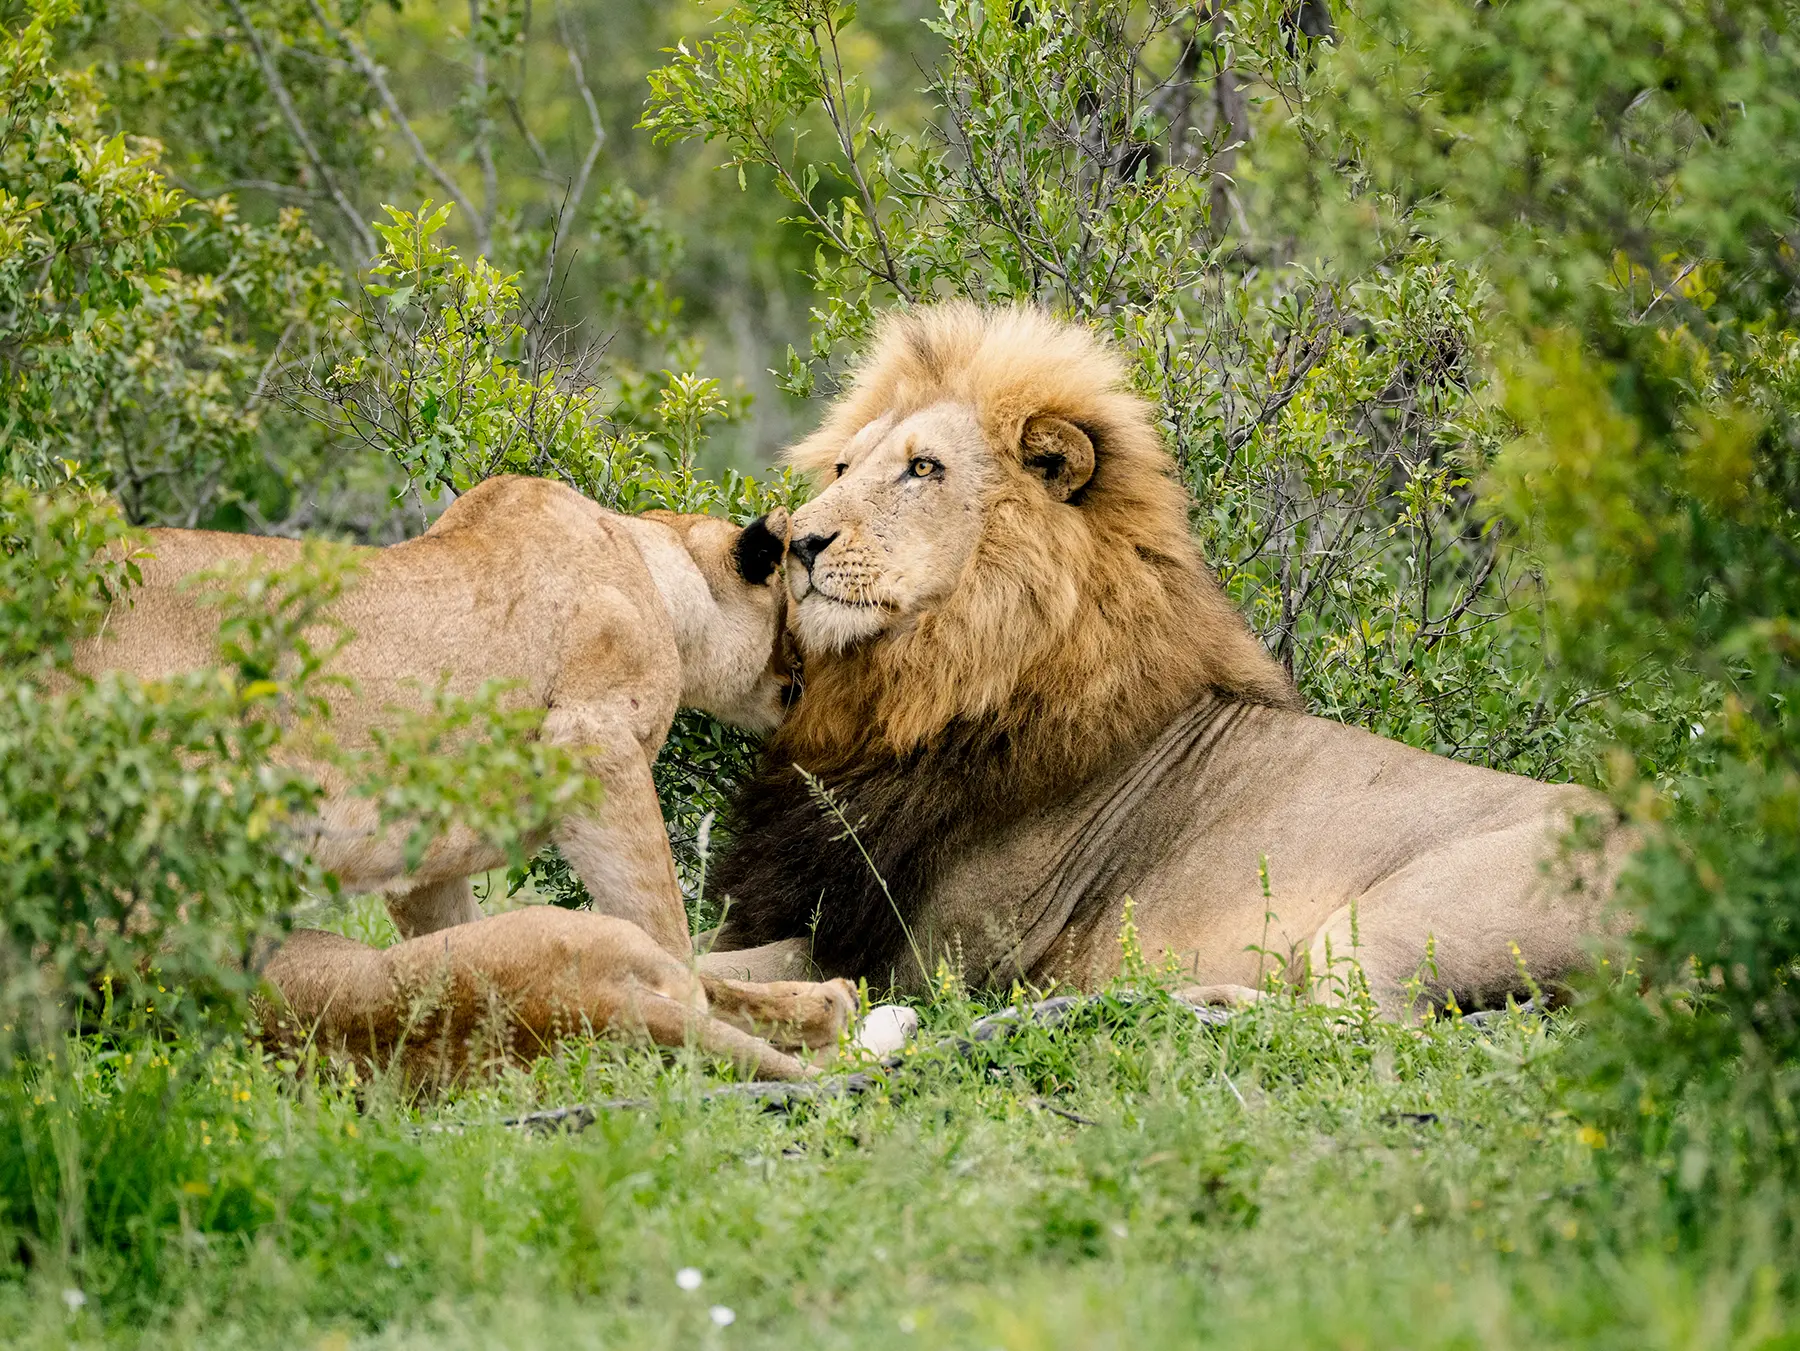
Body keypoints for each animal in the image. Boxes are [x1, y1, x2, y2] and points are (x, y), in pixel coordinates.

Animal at [78, 474, 856, 1078]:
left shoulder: (420, 859)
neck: (653, 568)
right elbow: (664, 927)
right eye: (793, 606)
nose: (813, 671)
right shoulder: (590, 740)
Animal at [700, 304, 1632, 1017]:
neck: (915, 692)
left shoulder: (923, 959)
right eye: (843, 464)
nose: (797, 541)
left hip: (1388, 923)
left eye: (923, 468)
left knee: (1363, 1026)